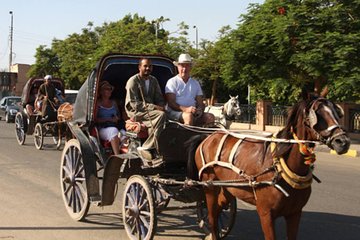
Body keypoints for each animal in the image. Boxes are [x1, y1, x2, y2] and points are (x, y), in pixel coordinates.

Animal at [187, 94, 350, 240]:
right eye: (317, 114)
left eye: (336, 112)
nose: (343, 142)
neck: (280, 167)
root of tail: (207, 137)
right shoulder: (266, 213)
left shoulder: (295, 213)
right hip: (209, 187)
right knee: (212, 217)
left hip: (227, 188)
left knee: (218, 210)